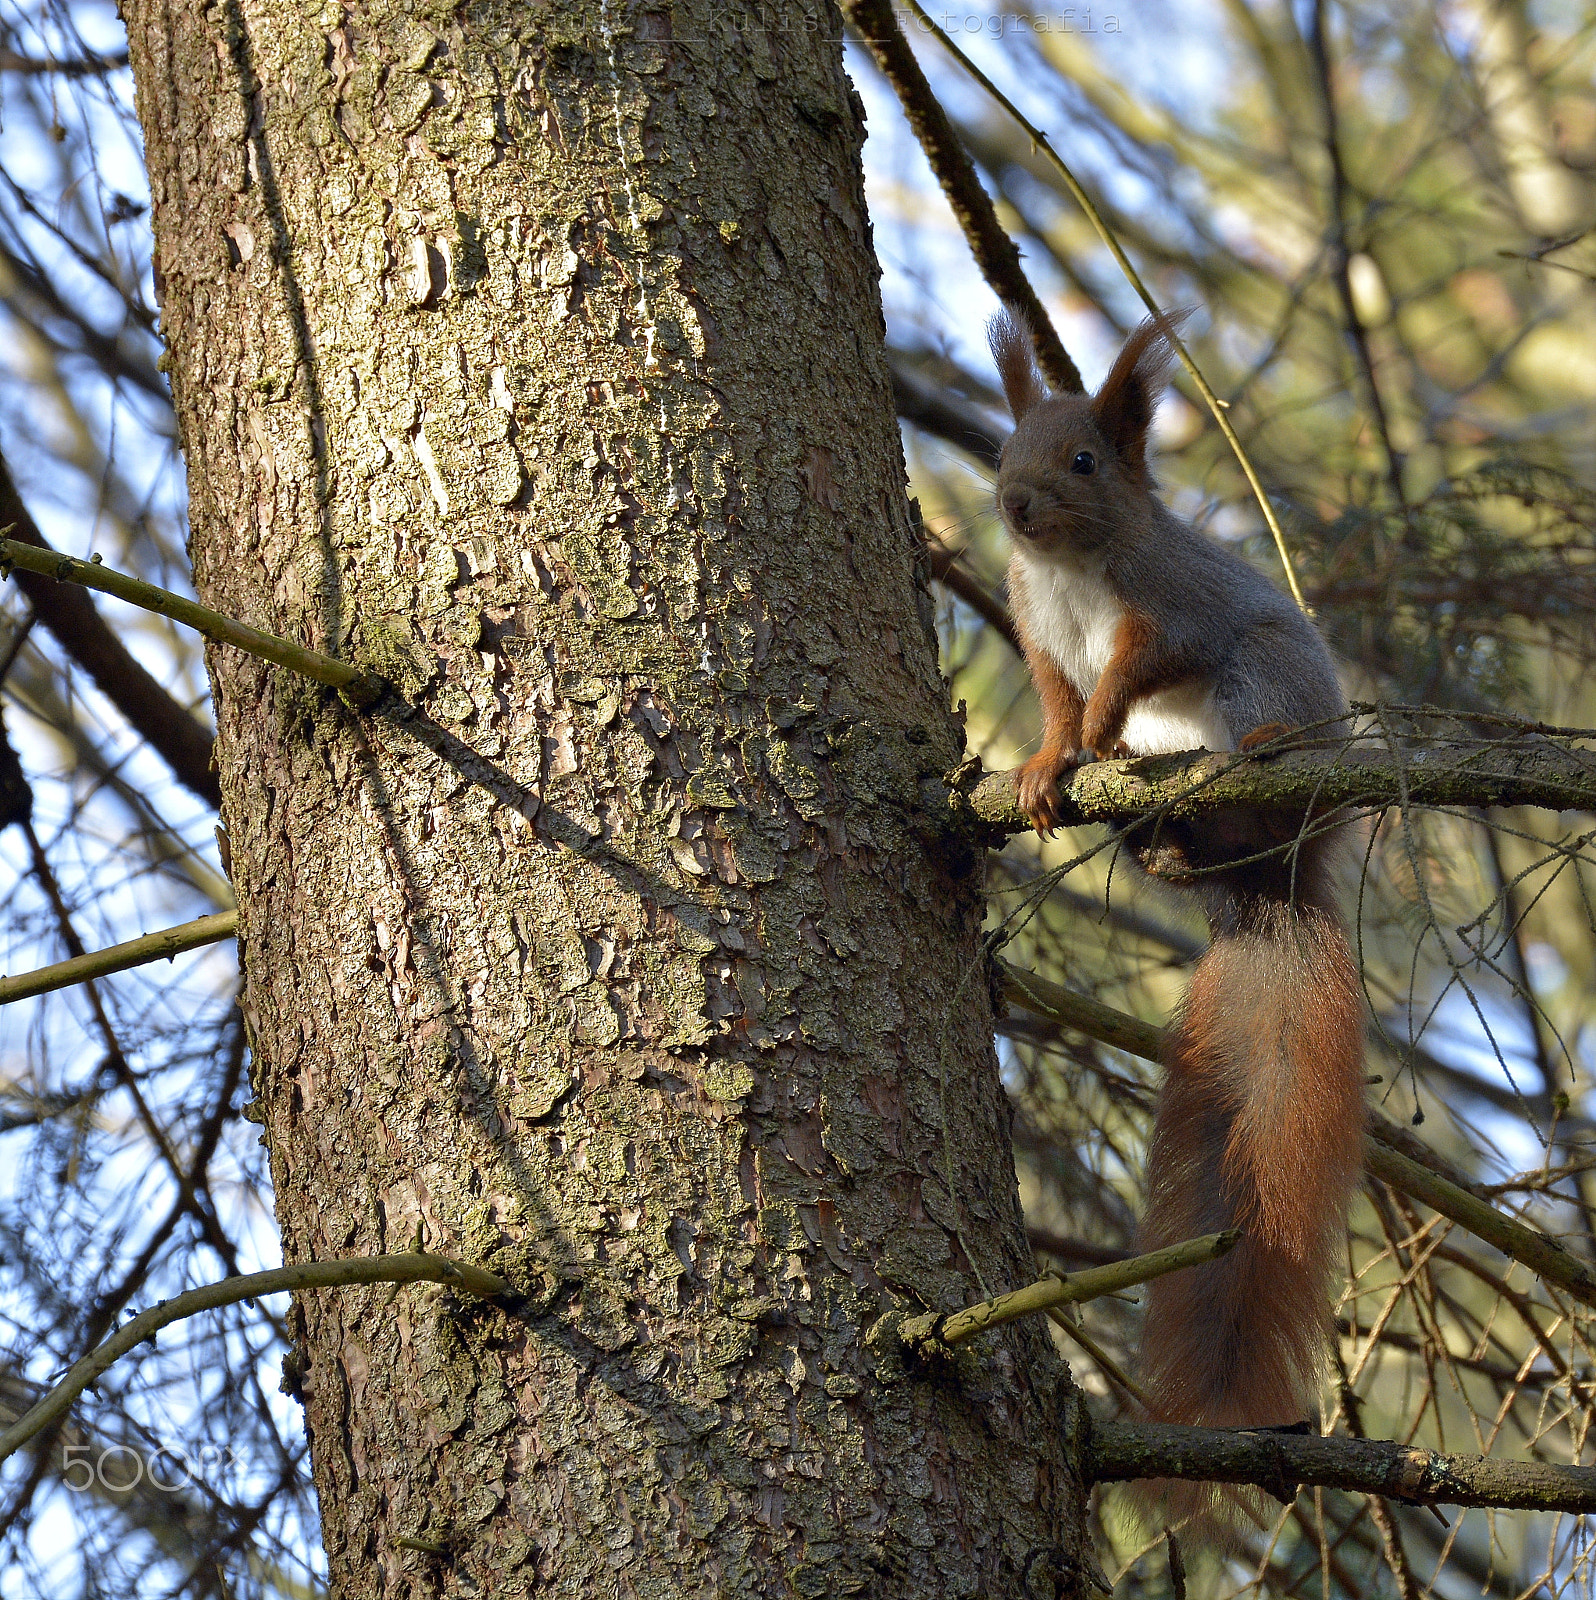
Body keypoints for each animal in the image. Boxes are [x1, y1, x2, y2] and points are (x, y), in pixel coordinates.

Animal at [989, 309, 1365, 1530]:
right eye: (1005, 446)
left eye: (1084, 461)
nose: (1012, 504)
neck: (1066, 571)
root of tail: (1275, 886)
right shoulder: (1037, 635)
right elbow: (1058, 706)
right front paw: (1049, 764)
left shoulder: (1171, 608)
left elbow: (1135, 668)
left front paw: (1103, 730)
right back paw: (1158, 843)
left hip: (1262, 679)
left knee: (1255, 730)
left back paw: (1258, 760)